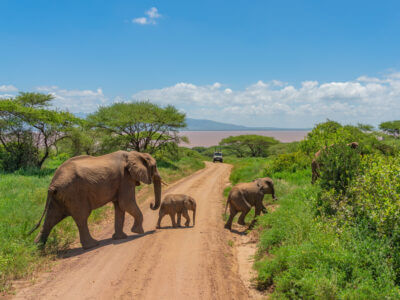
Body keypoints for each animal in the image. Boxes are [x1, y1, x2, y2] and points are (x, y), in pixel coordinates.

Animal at [28, 151, 162, 250]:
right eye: (154, 167)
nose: (151, 205)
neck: (135, 154)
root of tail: (52, 184)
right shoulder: (125, 177)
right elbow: (126, 203)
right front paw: (138, 232)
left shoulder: (122, 180)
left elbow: (120, 206)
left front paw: (120, 238)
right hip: (74, 194)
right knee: (81, 218)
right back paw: (92, 245)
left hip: (58, 197)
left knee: (50, 219)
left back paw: (37, 250)